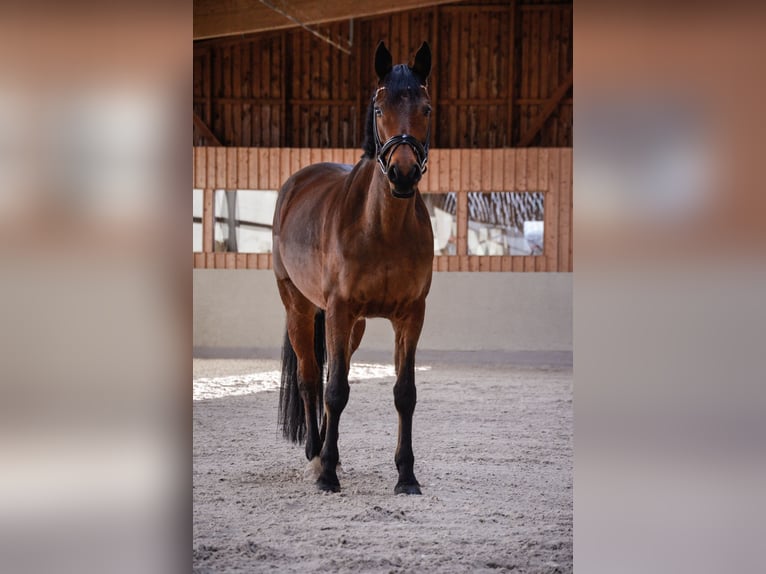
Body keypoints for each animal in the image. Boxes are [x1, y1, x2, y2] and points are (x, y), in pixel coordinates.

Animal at [272, 42, 436, 498]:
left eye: (426, 108)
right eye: (380, 108)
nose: (402, 173)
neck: (380, 225)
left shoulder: (410, 316)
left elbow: (404, 392)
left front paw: (406, 476)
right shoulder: (339, 310)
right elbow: (335, 390)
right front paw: (327, 473)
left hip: (354, 325)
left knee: (331, 370)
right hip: (300, 308)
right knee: (312, 379)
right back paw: (315, 453)